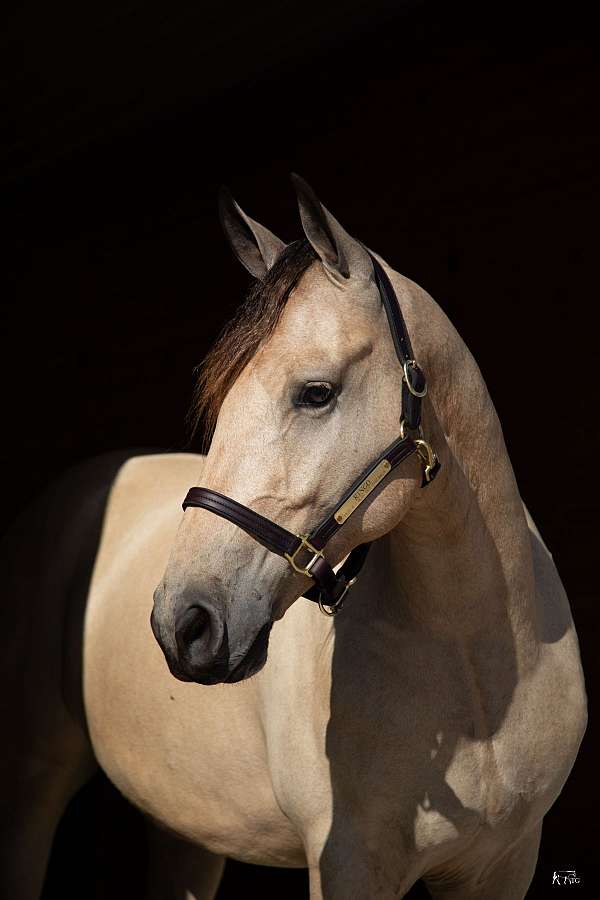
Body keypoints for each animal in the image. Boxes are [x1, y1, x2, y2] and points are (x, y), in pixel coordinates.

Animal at [0, 175, 587, 899]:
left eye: (315, 392)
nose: (182, 623)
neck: (480, 677)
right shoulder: (348, 865)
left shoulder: (504, 865)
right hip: (30, 785)